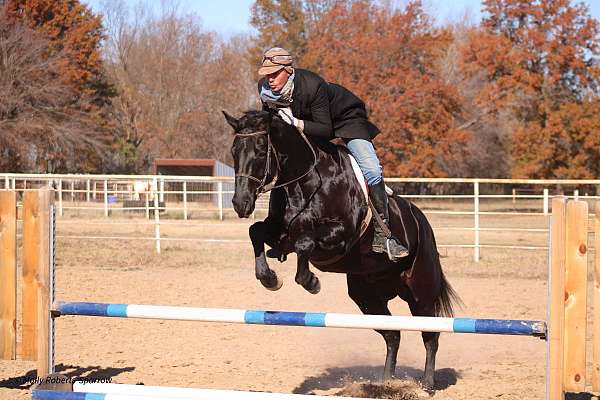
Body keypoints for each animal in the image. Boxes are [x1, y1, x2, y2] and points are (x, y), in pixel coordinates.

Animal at [224, 109, 460, 390]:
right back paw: (385, 383)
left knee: (430, 335)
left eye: (261, 150)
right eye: (234, 150)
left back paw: (427, 384)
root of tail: (421, 220)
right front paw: (269, 278)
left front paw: (311, 281)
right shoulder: (281, 233)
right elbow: (257, 232)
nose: (240, 203)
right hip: (367, 298)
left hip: (420, 292)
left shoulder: (340, 236)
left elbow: (305, 243)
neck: (304, 181)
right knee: (392, 334)